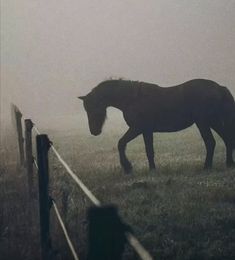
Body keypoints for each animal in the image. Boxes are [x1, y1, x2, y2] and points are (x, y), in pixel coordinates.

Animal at [79, 78, 235, 174]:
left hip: (204, 122)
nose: (94, 131)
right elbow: (148, 150)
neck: (132, 98)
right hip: (213, 121)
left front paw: (129, 167)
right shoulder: (145, 131)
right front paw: (151, 169)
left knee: (211, 142)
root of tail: (220, 88)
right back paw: (229, 164)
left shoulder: (138, 129)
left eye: (93, 108)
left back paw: (207, 166)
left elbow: (123, 144)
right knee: (227, 139)